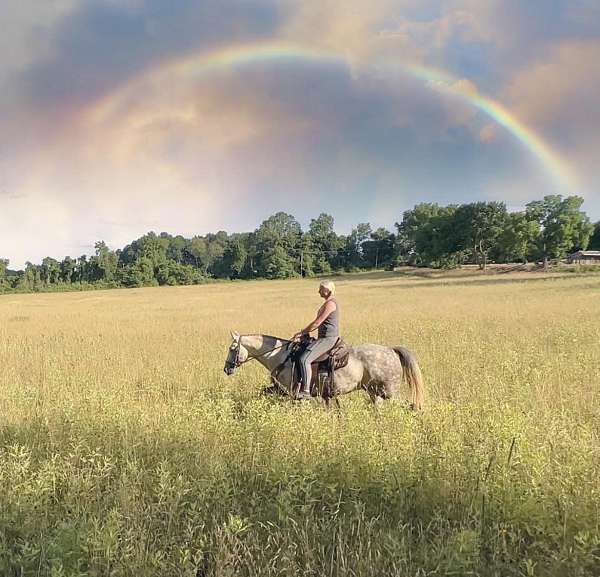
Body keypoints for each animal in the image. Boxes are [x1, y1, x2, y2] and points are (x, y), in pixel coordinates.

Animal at [225, 330, 426, 408]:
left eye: (232, 348)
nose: (227, 369)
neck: (281, 356)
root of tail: (391, 350)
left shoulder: (291, 393)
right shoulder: (280, 391)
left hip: (386, 392)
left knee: (407, 405)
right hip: (374, 392)